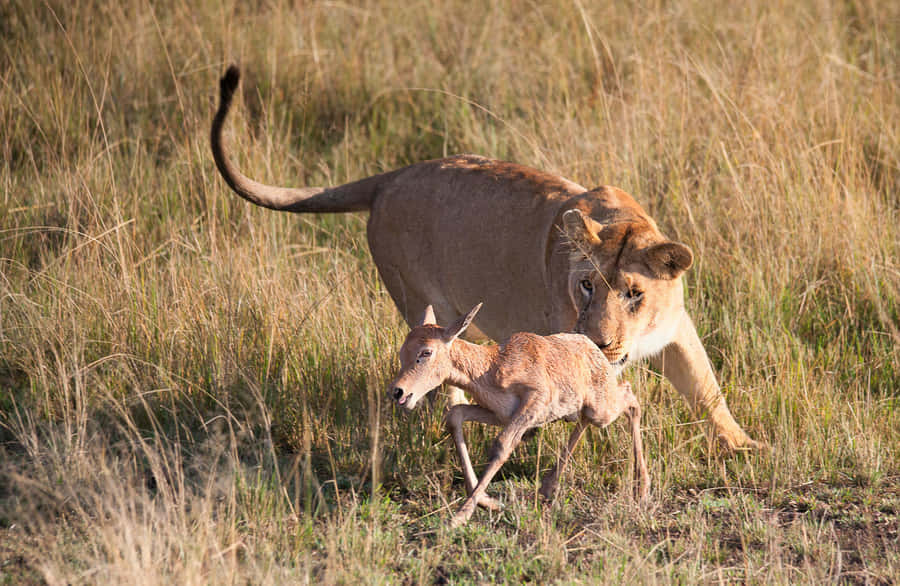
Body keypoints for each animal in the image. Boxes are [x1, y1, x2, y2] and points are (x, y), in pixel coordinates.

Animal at [210, 65, 758, 451]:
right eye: (586, 285)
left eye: (634, 293)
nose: (601, 343)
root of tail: (391, 177)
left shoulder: (678, 331)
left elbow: (708, 390)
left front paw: (744, 446)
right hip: (417, 298)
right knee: (433, 355)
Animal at [389, 303, 650, 527]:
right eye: (402, 350)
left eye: (426, 352)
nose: (398, 391)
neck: (492, 366)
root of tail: (592, 348)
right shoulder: (500, 414)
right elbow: (455, 415)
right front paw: (489, 503)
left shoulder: (534, 401)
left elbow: (502, 445)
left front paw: (459, 518)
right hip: (584, 410)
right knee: (588, 419)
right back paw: (548, 488)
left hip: (602, 409)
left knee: (630, 398)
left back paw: (641, 488)